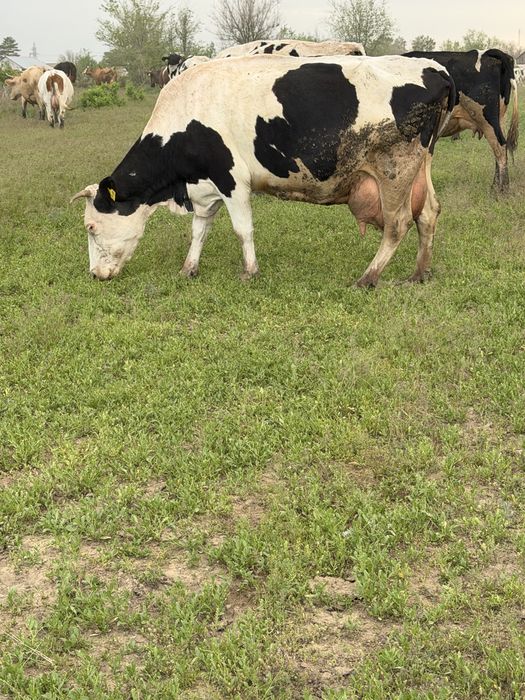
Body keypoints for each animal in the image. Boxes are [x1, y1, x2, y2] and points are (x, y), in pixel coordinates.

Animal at [70, 55, 454, 288]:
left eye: (90, 227)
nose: (94, 274)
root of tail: (434, 67)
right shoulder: (205, 187)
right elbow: (199, 230)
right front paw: (188, 269)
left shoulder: (231, 180)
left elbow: (243, 230)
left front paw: (249, 272)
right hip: (420, 168)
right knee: (429, 213)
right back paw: (419, 273)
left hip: (395, 169)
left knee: (398, 223)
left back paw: (368, 277)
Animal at [404, 49, 519, 192]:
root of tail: (486, 52)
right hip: (500, 118)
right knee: (499, 150)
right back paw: (496, 186)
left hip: (487, 119)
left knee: (501, 148)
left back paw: (501, 191)